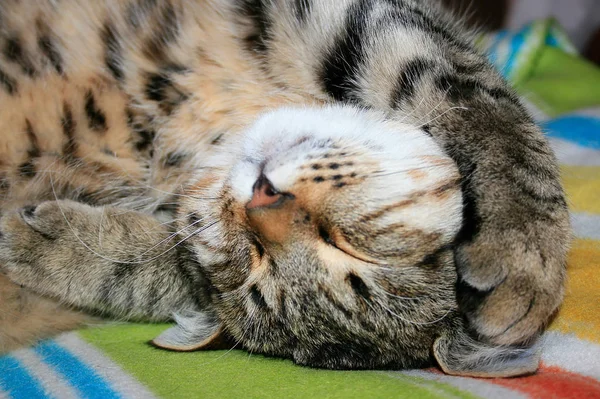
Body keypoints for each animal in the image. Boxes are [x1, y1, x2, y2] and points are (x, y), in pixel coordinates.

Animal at [0, 0, 568, 376]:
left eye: (346, 245)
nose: (262, 198)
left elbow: (153, 269)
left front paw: (48, 246)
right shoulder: (353, 20)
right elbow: (481, 101)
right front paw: (525, 247)